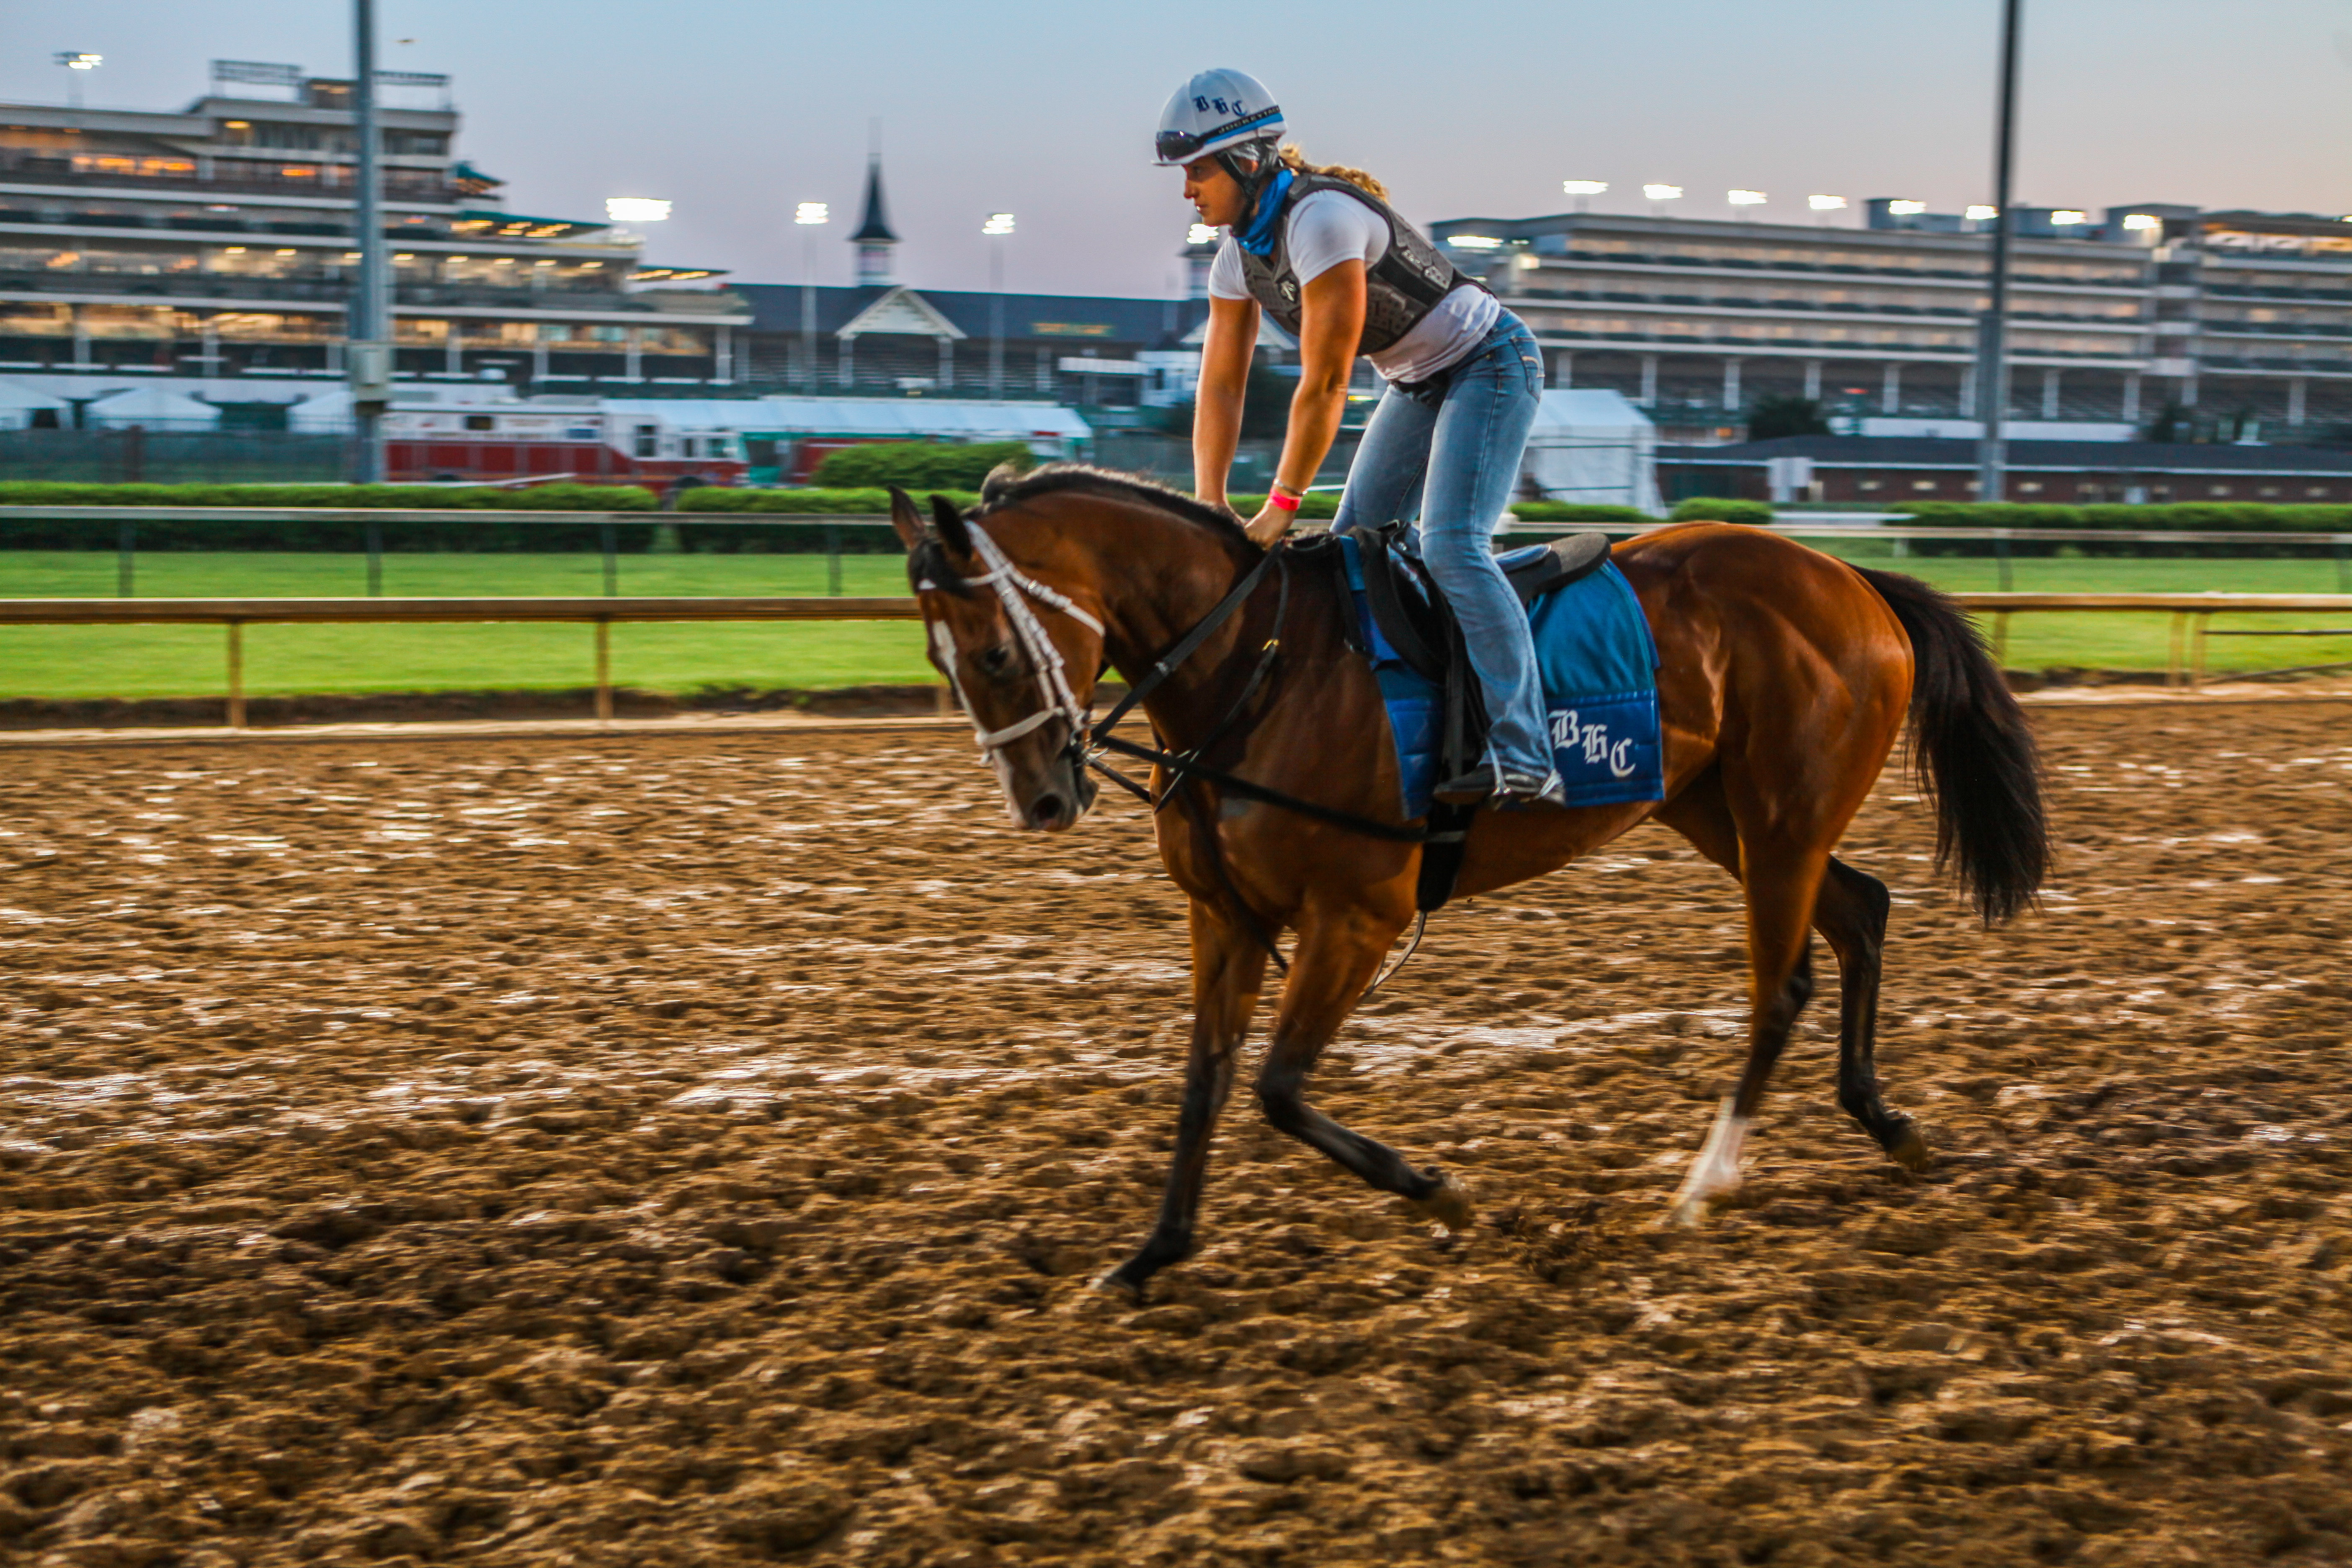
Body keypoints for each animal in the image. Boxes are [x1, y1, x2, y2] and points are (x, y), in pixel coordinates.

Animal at [889, 470, 2051, 1297]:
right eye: (941, 662)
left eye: (995, 653)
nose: (1043, 798)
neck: (1254, 667)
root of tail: (1853, 581)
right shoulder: (1222, 915)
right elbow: (1205, 1081)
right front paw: (1153, 1253)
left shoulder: (1358, 917)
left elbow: (1276, 1087)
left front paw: (1442, 1194)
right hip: (1719, 810)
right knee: (1861, 914)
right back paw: (1887, 1123)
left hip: (1781, 821)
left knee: (1783, 985)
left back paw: (1700, 1186)